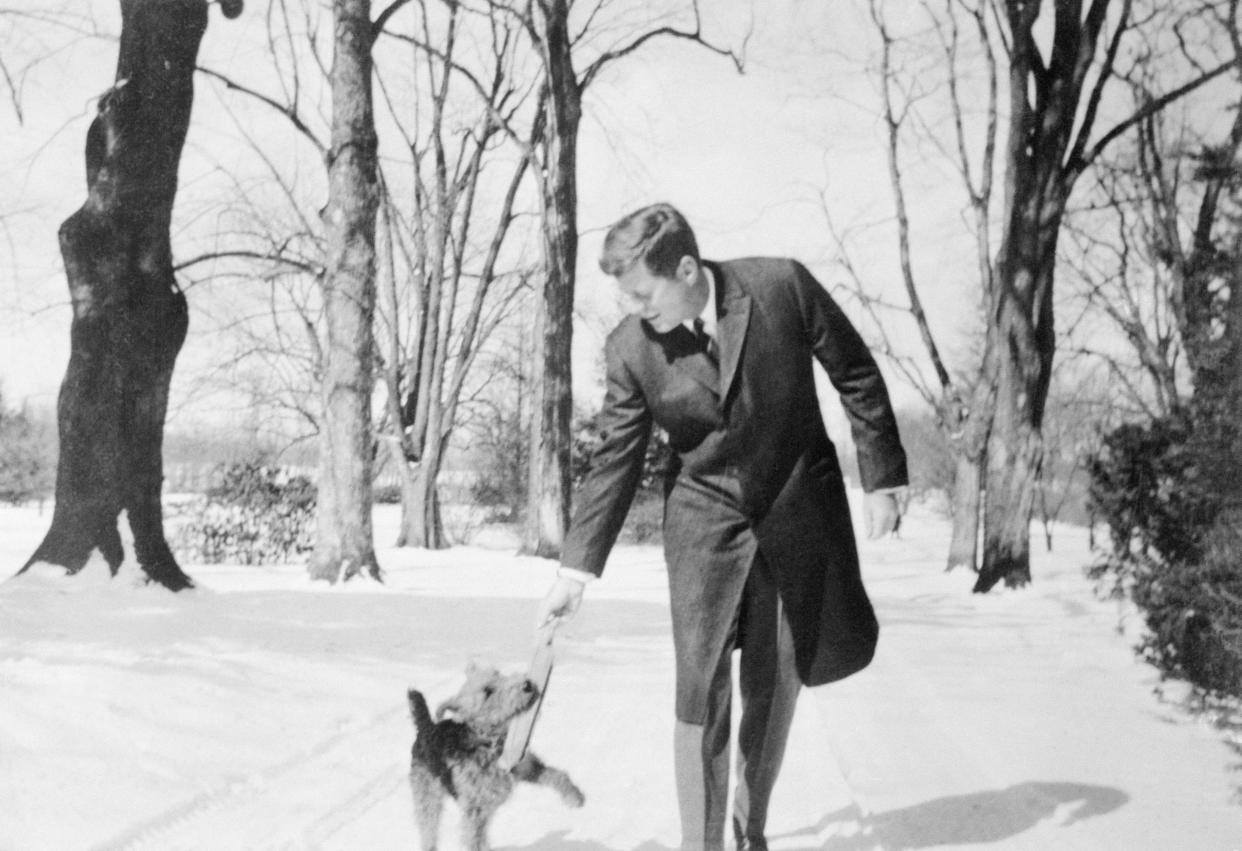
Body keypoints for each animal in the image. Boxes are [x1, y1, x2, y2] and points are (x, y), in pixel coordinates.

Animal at [407, 665, 581, 849]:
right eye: (488, 691)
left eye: (498, 673)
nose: (527, 684)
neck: (490, 744)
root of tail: (426, 727)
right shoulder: (474, 811)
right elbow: (473, 841)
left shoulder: (526, 768)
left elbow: (557, 775)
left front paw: (575, 798)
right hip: (428, 797)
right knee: (428, 831)